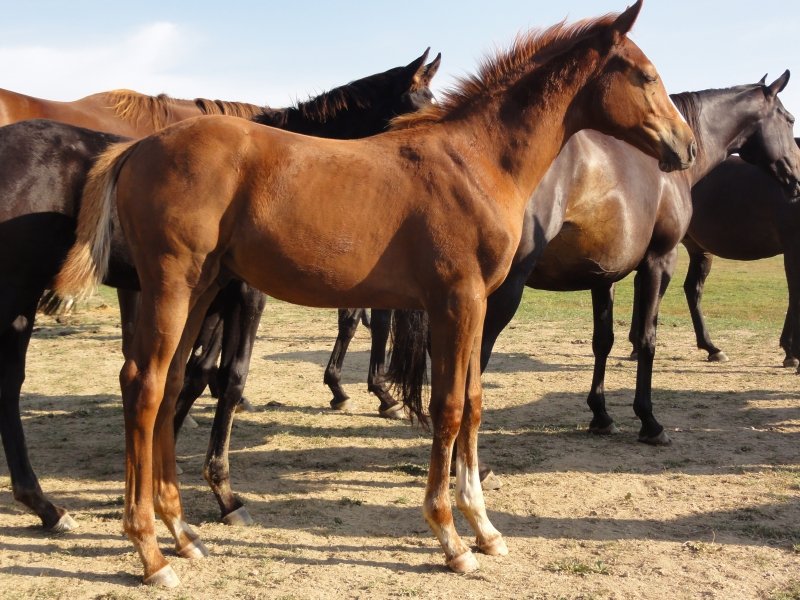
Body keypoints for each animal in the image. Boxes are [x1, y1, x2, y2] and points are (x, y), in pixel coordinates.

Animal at [0, 51, 440, 534]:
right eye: (416, 114)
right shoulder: (246, 297)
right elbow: (228, 377)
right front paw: (223, 493)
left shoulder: (212, 299)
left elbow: (193, 373)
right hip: (18, 291)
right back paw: (44, 503)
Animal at [52, 1, 695, 585]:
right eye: (646, 76)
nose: (686, 147)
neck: (477, 160)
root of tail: (138, 147)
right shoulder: (457, 301)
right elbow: (448, 408)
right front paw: (450, 538)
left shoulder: (475, 305)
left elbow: (474, 405)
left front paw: (485, 529)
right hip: (172, 284)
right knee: (144, 385)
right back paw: (150, 553)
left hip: (203, 287)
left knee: (168, 385)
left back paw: (182, 534)